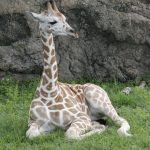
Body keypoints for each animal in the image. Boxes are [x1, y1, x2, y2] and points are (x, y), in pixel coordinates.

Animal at [25, 0, 131, 140]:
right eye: (52, 21)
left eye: (64, 18)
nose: (73, 31)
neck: (49, 92)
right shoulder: (32, 121)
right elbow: (32, 134)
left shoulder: (81, 117)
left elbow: (71, 134)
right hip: (95, 114)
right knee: (103, 123)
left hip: (101, 102)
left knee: (121, 120)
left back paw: (120, 131)